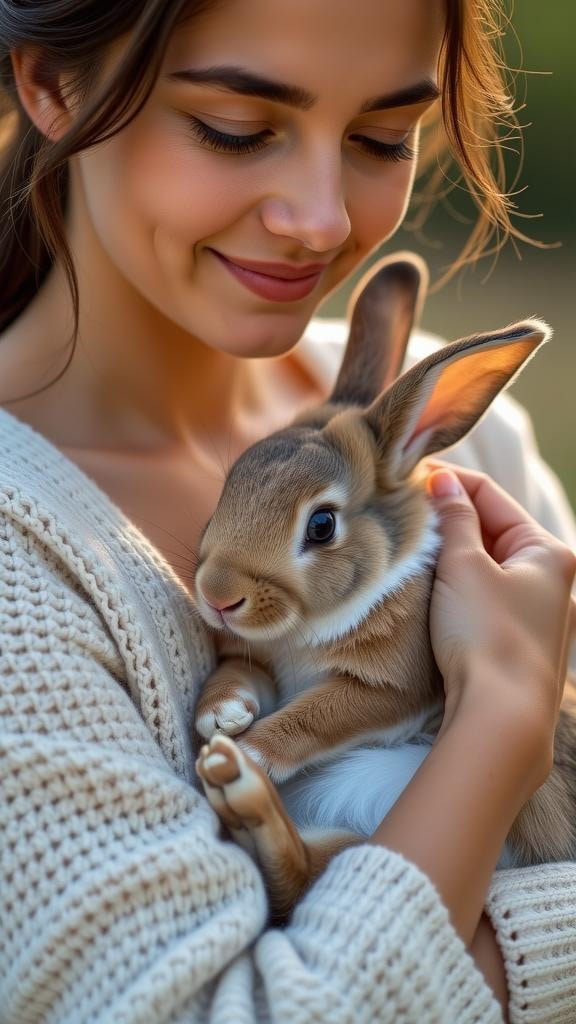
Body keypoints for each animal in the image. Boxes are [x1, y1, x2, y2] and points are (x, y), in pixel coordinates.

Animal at [193, 252, 576, 921]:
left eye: (321, 525)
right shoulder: (263, 663)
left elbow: (320, 716)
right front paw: (220, 718)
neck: (308, 628)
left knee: (305, 877)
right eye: (230, 483)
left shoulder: (397, 683)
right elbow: (240, 674)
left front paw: (254, 750)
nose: (217, 596)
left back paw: (238, 786)